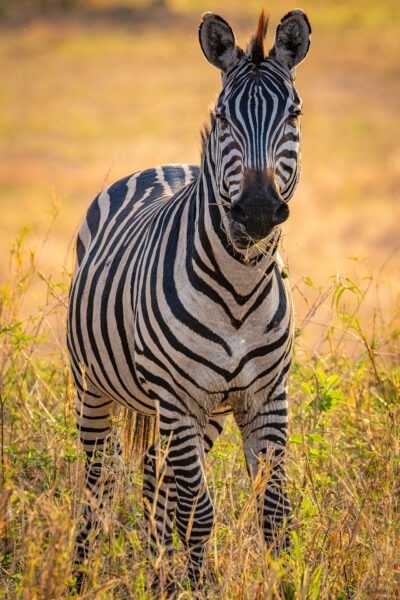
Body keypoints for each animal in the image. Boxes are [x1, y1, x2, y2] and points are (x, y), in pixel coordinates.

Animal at [68, 8, 312, 592]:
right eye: (222, 117)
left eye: (294, 113)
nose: (258, 210)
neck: (241, 285)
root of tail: (158, 166)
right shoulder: (179, 398)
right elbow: (198, 514)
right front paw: (202, 587)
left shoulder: (267, 396)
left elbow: (275, 513)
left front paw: (283, 585)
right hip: (97, 387)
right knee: (97, 483)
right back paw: (82, 578)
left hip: (197, 415)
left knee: (154, 482)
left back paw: (159, 579)